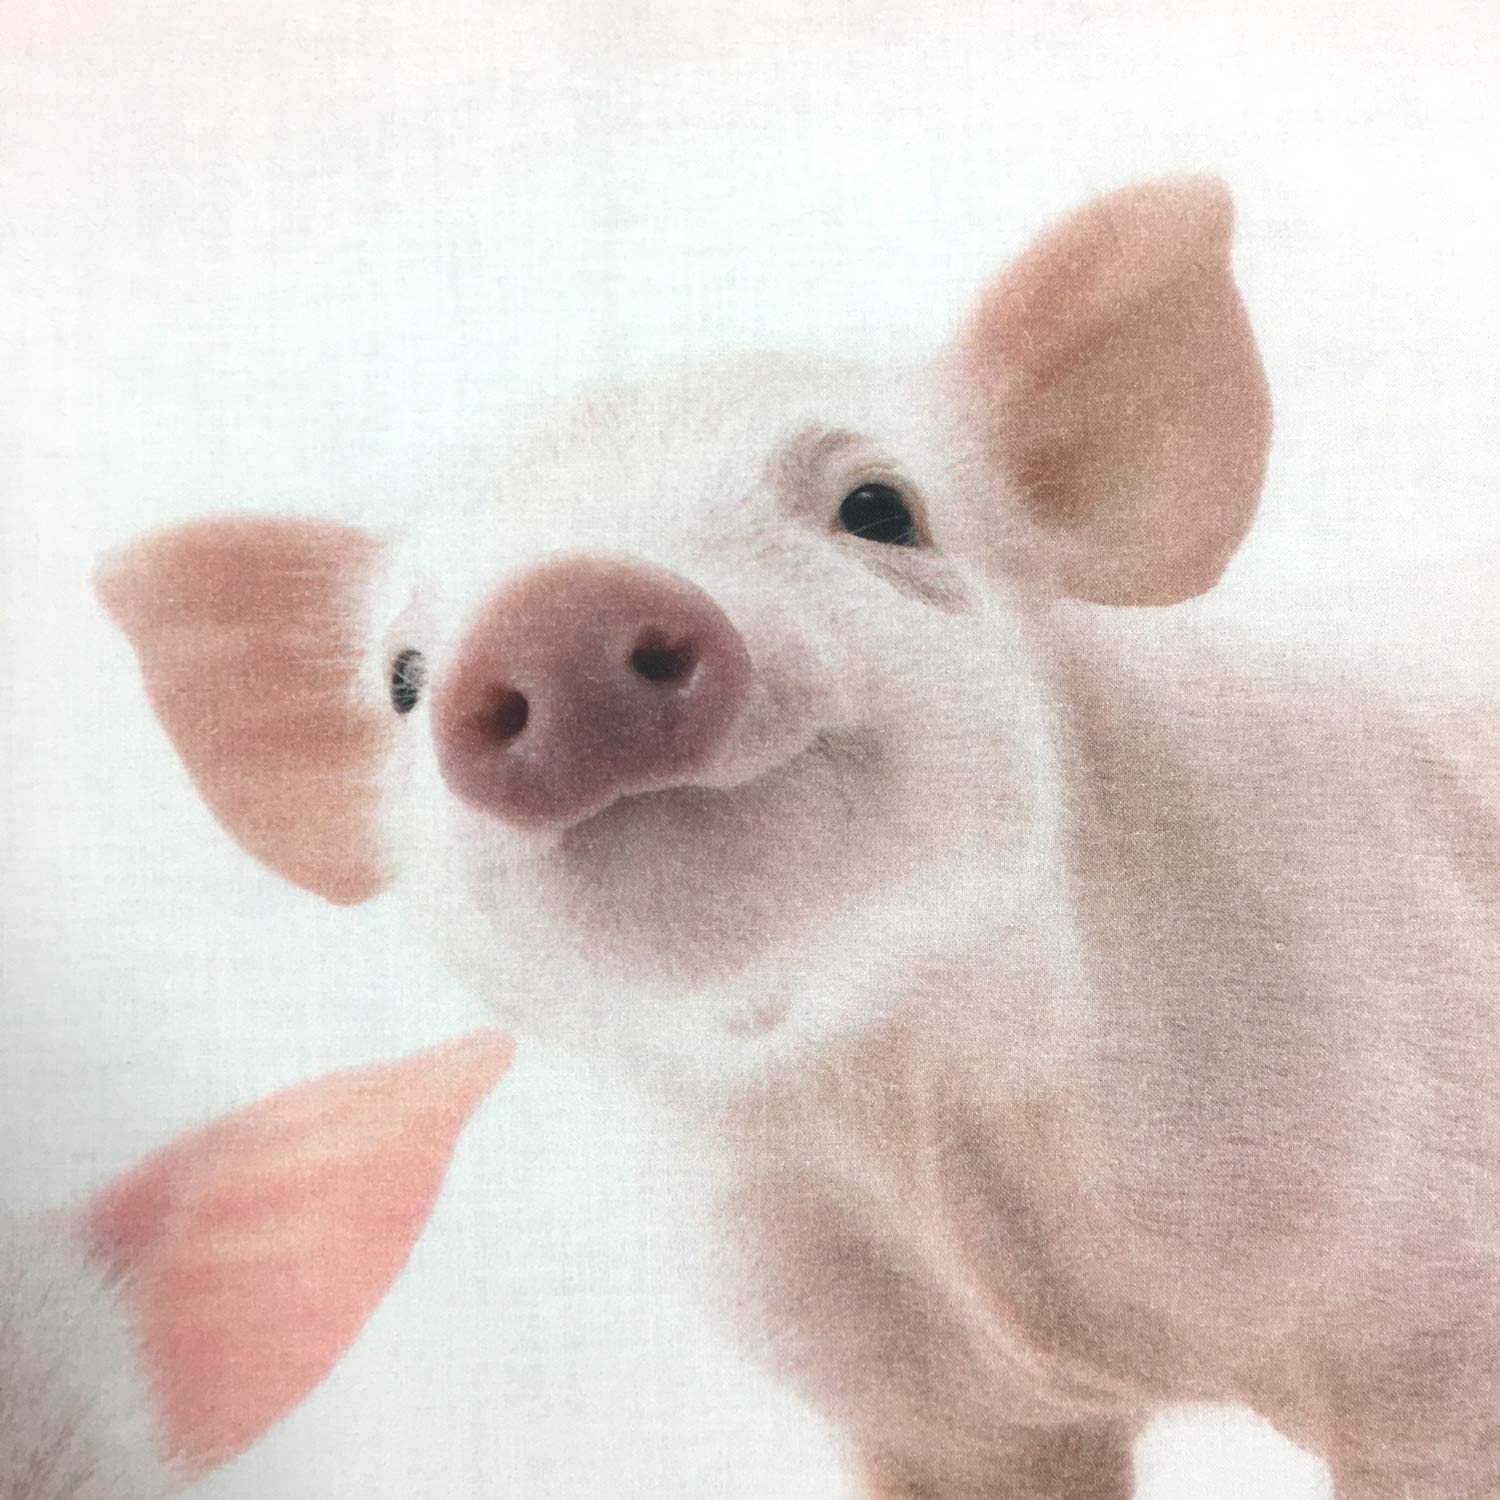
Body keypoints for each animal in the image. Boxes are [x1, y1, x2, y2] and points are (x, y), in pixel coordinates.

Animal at [93, 174, 1500, 1498]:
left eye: (880, 508)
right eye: (400, 676)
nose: (557, 604)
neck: (907, 1098)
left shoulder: (1430, 1316)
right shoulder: (924, 1407)